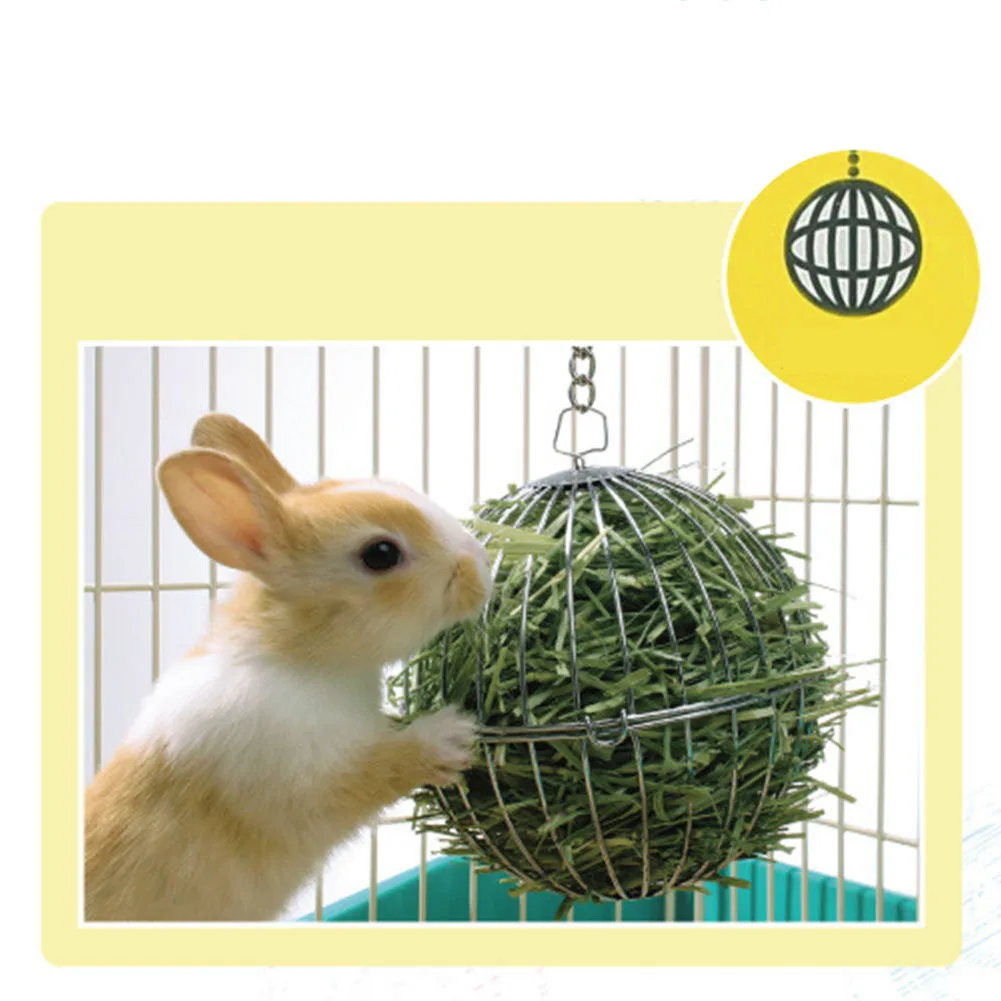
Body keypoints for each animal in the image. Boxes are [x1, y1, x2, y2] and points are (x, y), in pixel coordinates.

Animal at [84, 413, 491, 922]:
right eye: (380, 554)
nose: (481, 567)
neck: (297, 658)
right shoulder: (305, 774)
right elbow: (378, 770)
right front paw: (452, 735)